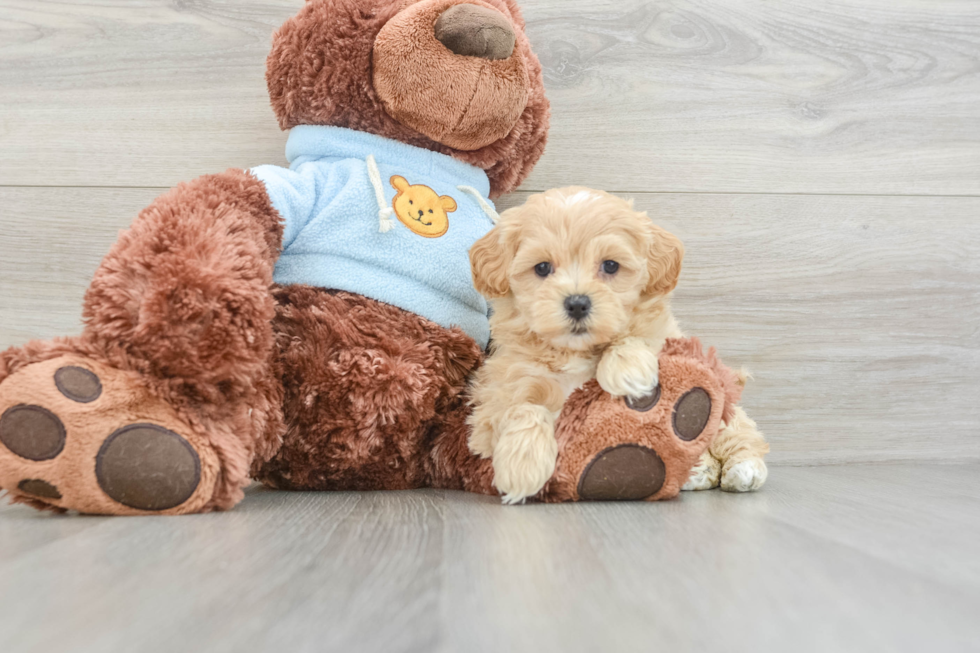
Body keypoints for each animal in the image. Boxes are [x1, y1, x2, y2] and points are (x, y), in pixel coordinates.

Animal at [468, 186, 772, 502]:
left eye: (611, 266)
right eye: (542, 268)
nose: (577, 303)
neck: (576, 351)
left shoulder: (664, 337)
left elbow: (634, 334)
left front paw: (630, 370)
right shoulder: (498, 389)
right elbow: (522, 406)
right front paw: (521, 466)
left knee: (738, 432)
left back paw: (743, 469)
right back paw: (697, 472)